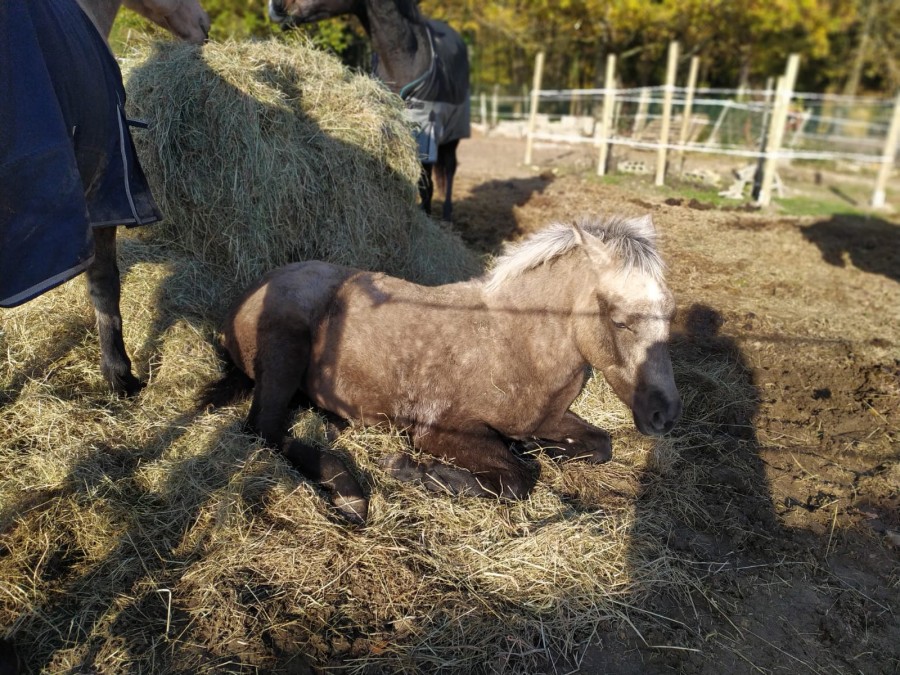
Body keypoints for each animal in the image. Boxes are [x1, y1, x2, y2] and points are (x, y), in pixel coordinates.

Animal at [204, 217, 684, 524]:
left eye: (670, 311)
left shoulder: (549, 419)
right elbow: (515, 481)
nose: (664, 415)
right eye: (620, 320)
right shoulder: (441, 431)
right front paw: (408, 469)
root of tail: (250, 290)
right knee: (264, 429)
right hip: (285, 351)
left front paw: (534, 447)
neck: (515, 343)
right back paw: (349, 492)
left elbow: (599, 445)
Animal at [268, 0, 472, 222]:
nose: (275, 6)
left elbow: (426, 186)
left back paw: (447, 214)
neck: (405, 60)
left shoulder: (427, 134)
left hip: (453, 135)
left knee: (450, 169)